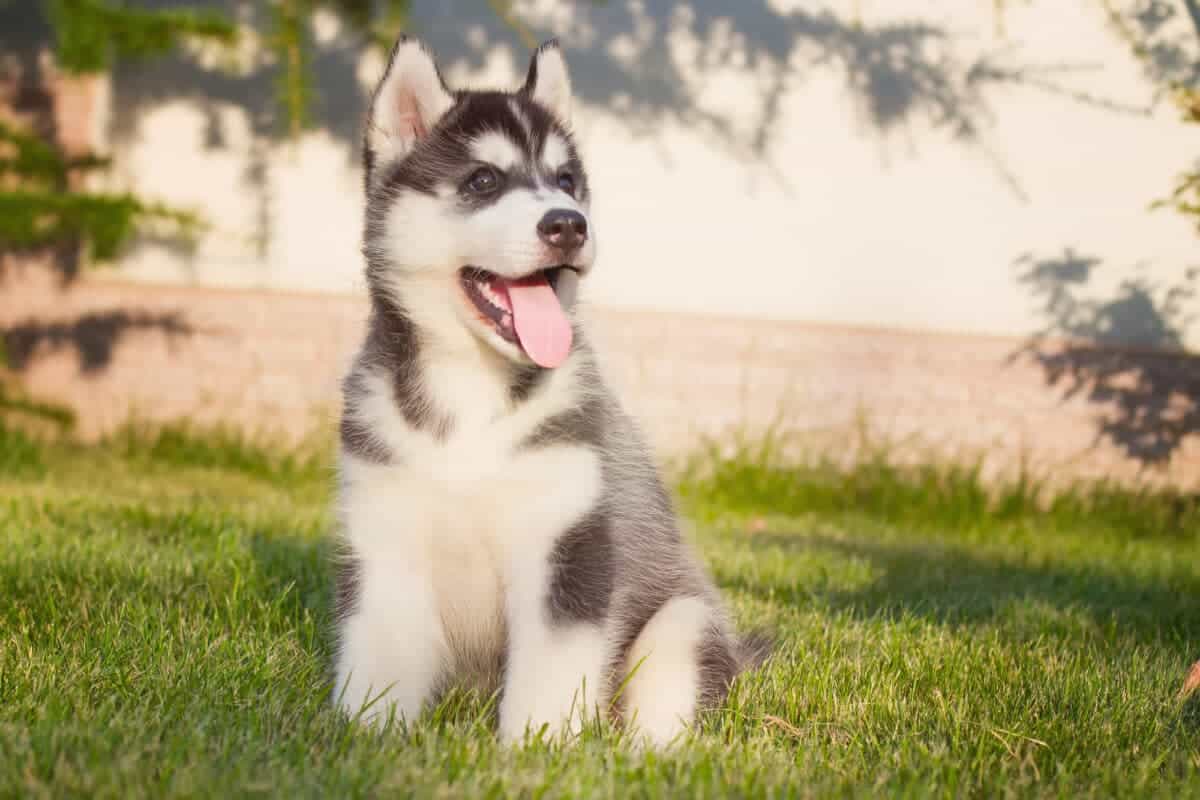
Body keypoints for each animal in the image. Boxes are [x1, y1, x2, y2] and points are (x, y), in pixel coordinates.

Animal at [333, 31, 768, 743]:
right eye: (483, 180)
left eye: (567, 182)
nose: (568, 224)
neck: (470, 393)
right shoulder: (384, 537)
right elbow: (378, 662)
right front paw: (361, 743)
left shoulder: (567, 542)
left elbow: (550, 676)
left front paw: (536, 750)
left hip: (683, 618)